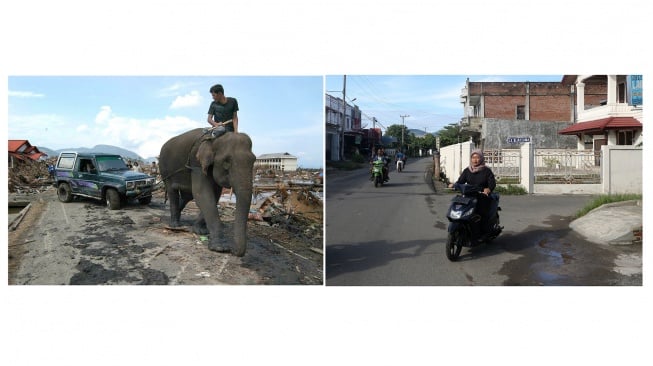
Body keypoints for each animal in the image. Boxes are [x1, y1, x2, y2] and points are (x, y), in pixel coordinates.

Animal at [159, 129, 256, 258]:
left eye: (254, 160)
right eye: (226, 162)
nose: (233, 250)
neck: (215, 139)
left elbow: (214, 195)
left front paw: (200, 231)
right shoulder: (196, 163)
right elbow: (202, 194)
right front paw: (220, 248)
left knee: (187, 196)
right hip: (165, 171)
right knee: (172, 191)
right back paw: (175, 225)